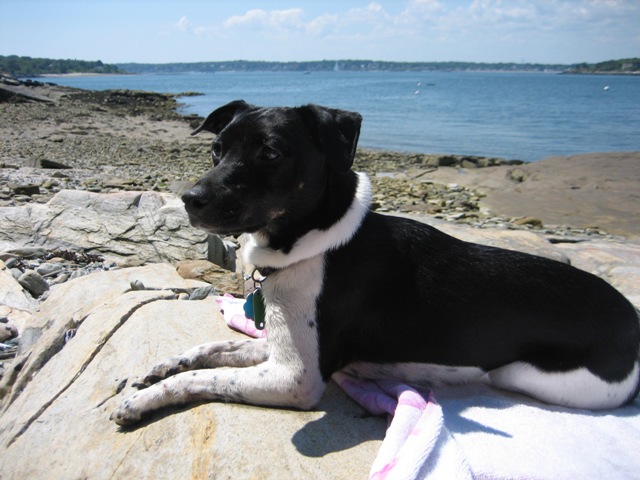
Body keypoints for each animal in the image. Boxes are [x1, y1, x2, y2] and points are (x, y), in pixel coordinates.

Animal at [111, 99, 640, 426]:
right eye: (216, 150)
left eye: (271, 152)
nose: (190, 200)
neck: (319, 243)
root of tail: (632, 321)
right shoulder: (282, 349)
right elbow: (213, 349)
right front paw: (163, 366)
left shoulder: (296, 378)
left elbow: (207, 376)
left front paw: (140, 402)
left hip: (525, 374)